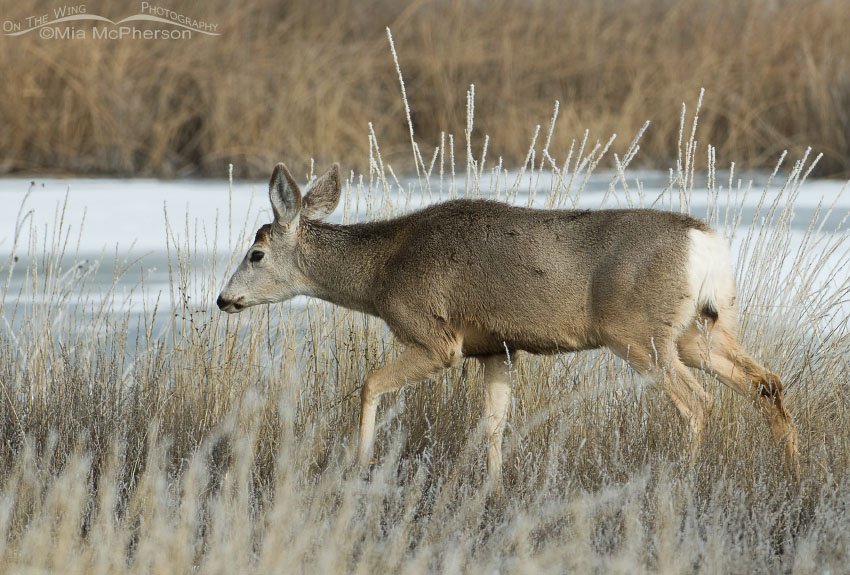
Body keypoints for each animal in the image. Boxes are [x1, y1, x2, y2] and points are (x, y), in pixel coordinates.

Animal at [217, 162, 801, 485]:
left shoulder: (436, 337)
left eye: (256, 253)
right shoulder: (495, 347)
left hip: (640, 333)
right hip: (701, 329)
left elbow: (369, 384)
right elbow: (495, 424)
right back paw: (790, 476)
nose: (224, 299)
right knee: (766, 383)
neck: (382, 272)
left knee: (698, 402)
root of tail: (707, 245)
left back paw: (682, 482)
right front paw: (493, 490)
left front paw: (358, 466)